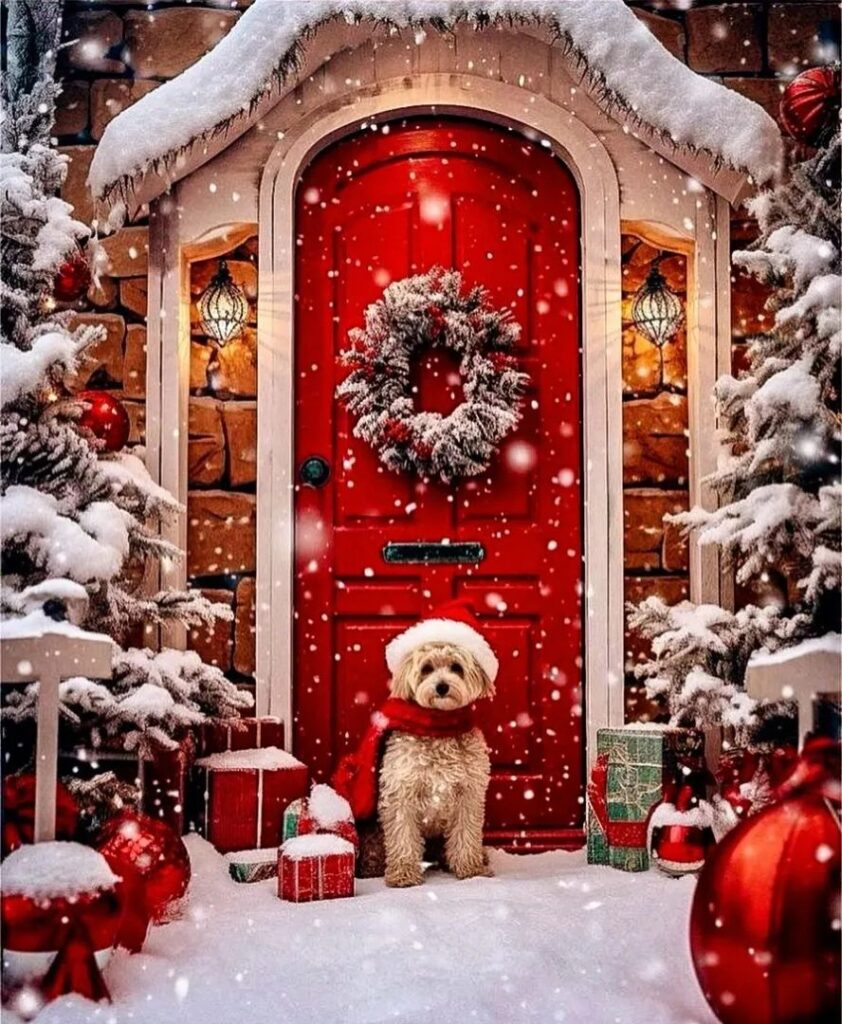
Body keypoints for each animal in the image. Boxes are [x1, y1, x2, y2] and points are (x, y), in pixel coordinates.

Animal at [381, 638, 493, 888]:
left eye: (456, 667)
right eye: (427, 668)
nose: (442, 686)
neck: (440, 727)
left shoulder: (469, 793)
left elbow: (466, 834)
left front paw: (470, 870)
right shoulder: (401, 791)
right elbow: (403, 836)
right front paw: (404, 874)